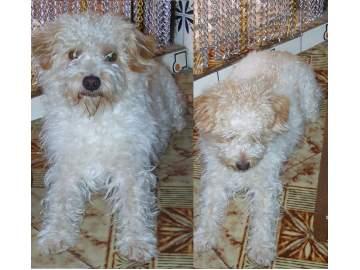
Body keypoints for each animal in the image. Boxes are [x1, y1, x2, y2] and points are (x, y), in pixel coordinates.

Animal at [31, 14, 186, 262]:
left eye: (111, 56)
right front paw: (55, 235)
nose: (91, 81)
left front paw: (136, 242)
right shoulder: (66, 168)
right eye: (73, 54)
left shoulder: (131, 169)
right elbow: (59, 201)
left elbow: (134, 205)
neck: (95, 118)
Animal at [194, 50, 320, 266]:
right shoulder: (216, 182)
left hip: (310, 101)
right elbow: (209, 210)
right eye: (229, 137)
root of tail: (282, 52)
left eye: (256, 136)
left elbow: (263, 217)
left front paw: (261, 248)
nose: (243, 165)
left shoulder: (265, 187)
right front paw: (204, 236)